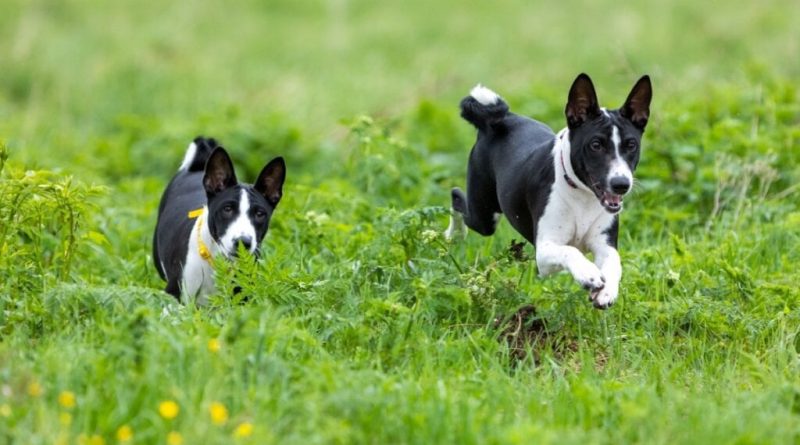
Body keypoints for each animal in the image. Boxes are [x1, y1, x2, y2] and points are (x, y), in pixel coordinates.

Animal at [446, 73, 652, 308]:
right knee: (457, 197)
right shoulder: (543, 253)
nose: (621, 184)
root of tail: (498, 120)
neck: (582, 196)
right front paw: (588, 273)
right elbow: (570, 250)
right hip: (484, 216)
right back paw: (452, 235)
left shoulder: (604, 244)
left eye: (631, 145)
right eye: (596, 145)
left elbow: (614, 262)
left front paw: (607, 290)